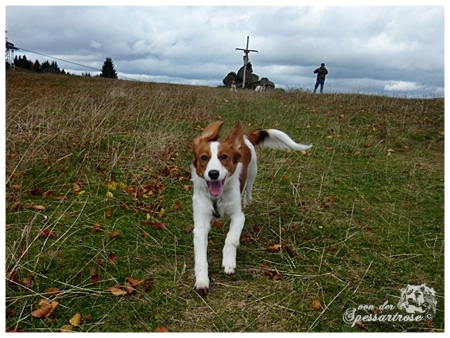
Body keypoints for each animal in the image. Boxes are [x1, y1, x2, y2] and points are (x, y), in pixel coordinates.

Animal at [191, 121, 312, 296]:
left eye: (223, 157)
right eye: (204, 158)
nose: (213, 173)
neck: (217, 198)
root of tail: (245, 136)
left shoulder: (238, 216)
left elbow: (231, 238)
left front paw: (228, 261)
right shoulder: (200, 224)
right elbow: (201, 257)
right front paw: (202, 281)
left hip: (253, 170)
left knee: (249, 187)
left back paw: (248, 199)